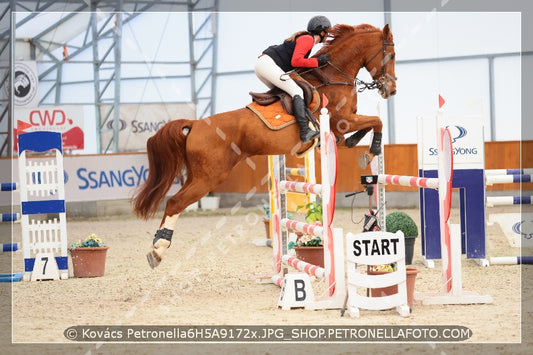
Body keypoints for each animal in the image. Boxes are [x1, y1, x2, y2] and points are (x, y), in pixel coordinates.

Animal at [132, 23, 394, 268]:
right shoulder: (342, 120)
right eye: (391, 55)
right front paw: (370, 152)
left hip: (197, 175)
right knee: (175, 202)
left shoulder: (344, 124)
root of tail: (195, 124)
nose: (391, 90)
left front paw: (355, 144)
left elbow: (368, 125)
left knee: (176, 201)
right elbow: (377, 121)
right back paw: (158, 250)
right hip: (210, 176)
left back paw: (156, 247)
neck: (332, 76)